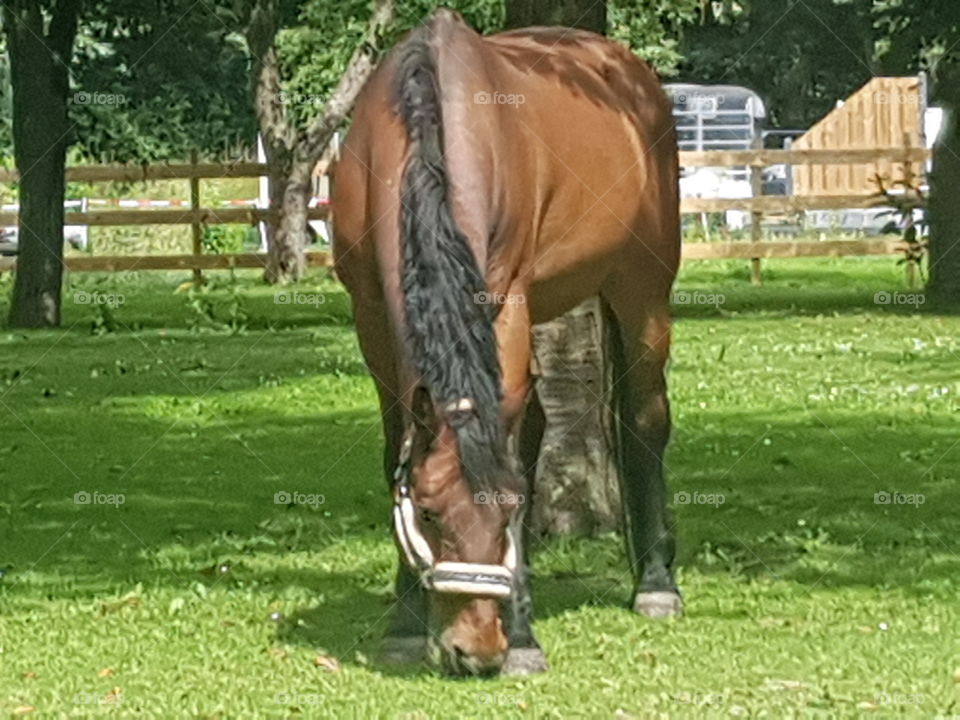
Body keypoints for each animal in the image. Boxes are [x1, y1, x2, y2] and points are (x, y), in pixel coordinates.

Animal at [332, 9, 681, 676]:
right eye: (428, 513)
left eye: (506, 512)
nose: (477, 651)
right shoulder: (371, 317)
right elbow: (397, 448)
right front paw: (404, 623)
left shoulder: (507, 302)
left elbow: (515, 456)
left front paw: (522, 637)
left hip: (642, 290)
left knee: (645, 421)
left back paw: (656, 583)